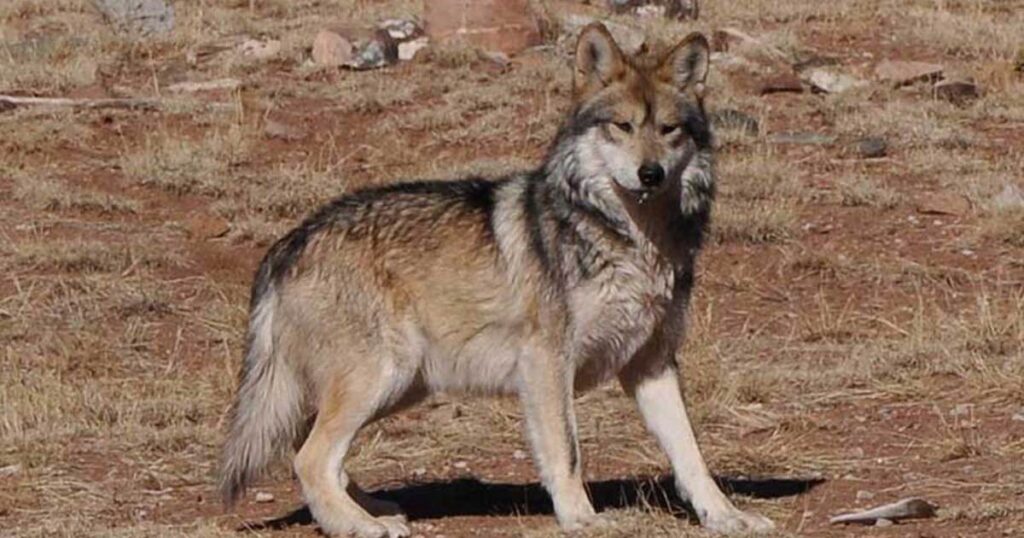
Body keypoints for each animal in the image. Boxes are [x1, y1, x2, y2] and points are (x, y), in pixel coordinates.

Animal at [219, 23, 774, 537]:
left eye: (669, 129)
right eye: (622, 126)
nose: (651, 174)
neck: (629, 240)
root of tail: (289, 242)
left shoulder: (652, 365)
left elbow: (692, 455)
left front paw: (727, 517)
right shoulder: (547, 363)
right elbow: (567, 452)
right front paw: (583, 519)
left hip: (399, 385)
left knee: (309, 449)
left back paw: (371, 510)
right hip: (381, 376)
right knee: (310, 458)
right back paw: (363, 526)